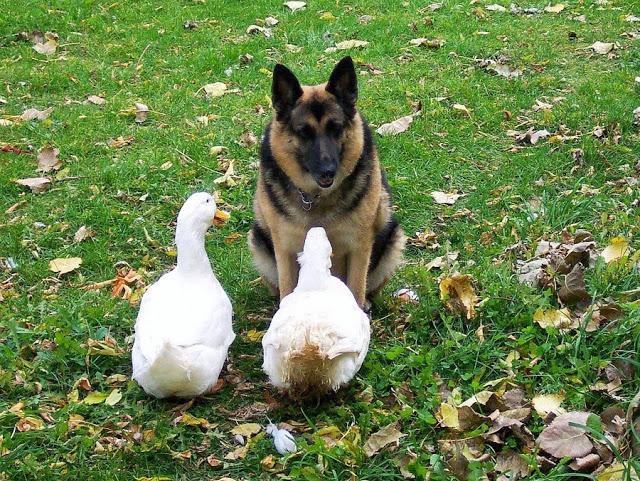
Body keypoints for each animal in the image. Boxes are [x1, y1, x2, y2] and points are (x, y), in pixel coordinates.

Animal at [248, 56, 402, 308]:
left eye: (336, 128)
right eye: (304, 132)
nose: (329, 171)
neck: (315, 198)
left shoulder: (360, 248)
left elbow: (356, 289)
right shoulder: (284, 249)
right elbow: (287, 290)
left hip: (392, 239)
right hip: (258, 241)